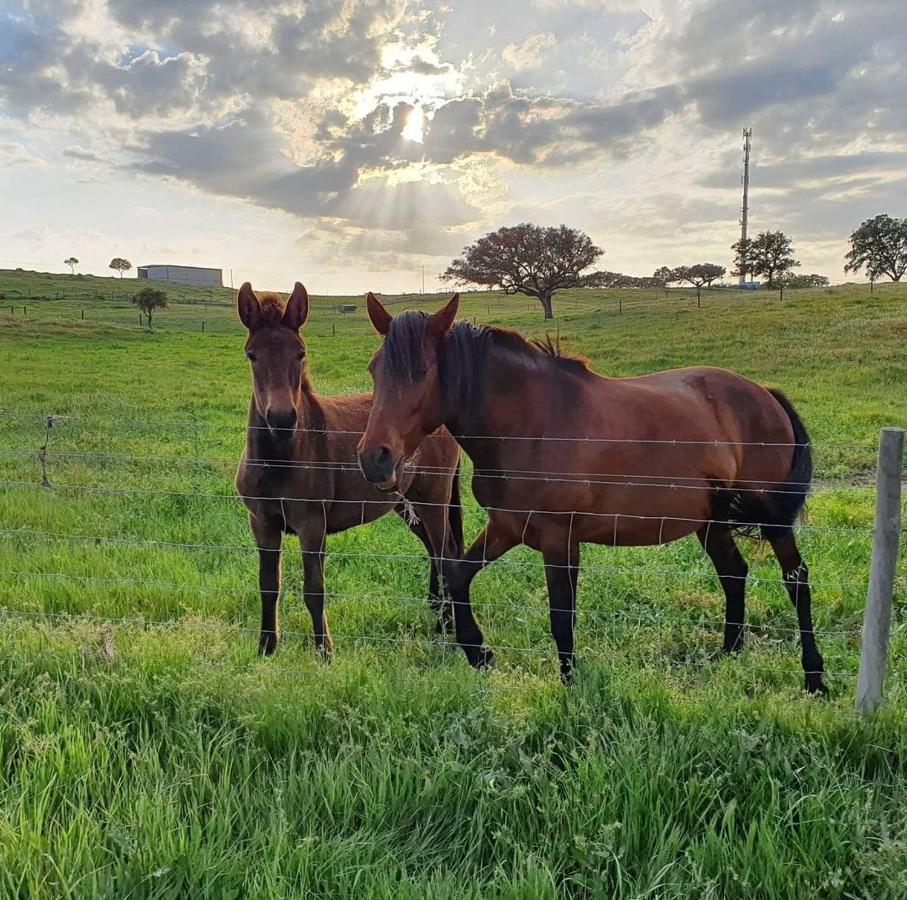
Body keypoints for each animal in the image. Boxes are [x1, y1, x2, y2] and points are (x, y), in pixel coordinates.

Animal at [236, 282, 462, 652]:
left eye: (300, 353)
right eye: (252, 355)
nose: (282, 420)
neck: (280, 459)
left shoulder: (312, 525)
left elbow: (314, 590)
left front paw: (324, 652)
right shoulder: (262, 524)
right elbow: (268, 586)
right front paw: (266, 648)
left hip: (433, 499)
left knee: (447, 555)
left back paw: (447, 629)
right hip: (406, 504)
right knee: (433, 550)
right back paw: (436, 612)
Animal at [358, 296, 828, 696]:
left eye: (423, 371)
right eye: (374, 369)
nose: (374, 459)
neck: (531, 423)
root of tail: (766, 394)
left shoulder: (559, 539)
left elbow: (561, 617)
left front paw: (569, 687)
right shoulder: (507, 527)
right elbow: (457, 574)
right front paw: (478, 652)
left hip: (772, 519)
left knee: (796, 579)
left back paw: (815, 678)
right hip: (708, 520)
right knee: (733, 573)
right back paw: (728, 653)